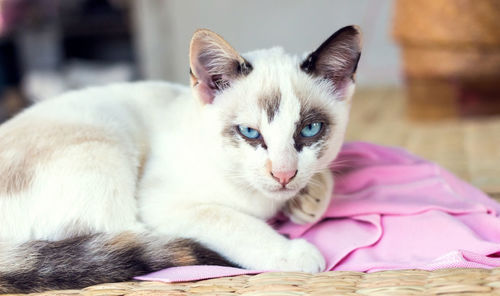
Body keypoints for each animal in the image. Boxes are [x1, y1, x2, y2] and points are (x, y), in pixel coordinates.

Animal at [0, 24, 362, 292]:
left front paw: (310, 198)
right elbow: (229, 219)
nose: (283, 174)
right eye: (249, 132)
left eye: (310, 129)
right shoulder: (162, 201)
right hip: (103, 144)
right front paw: (289, 249)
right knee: (130, 237)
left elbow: (320, 176)